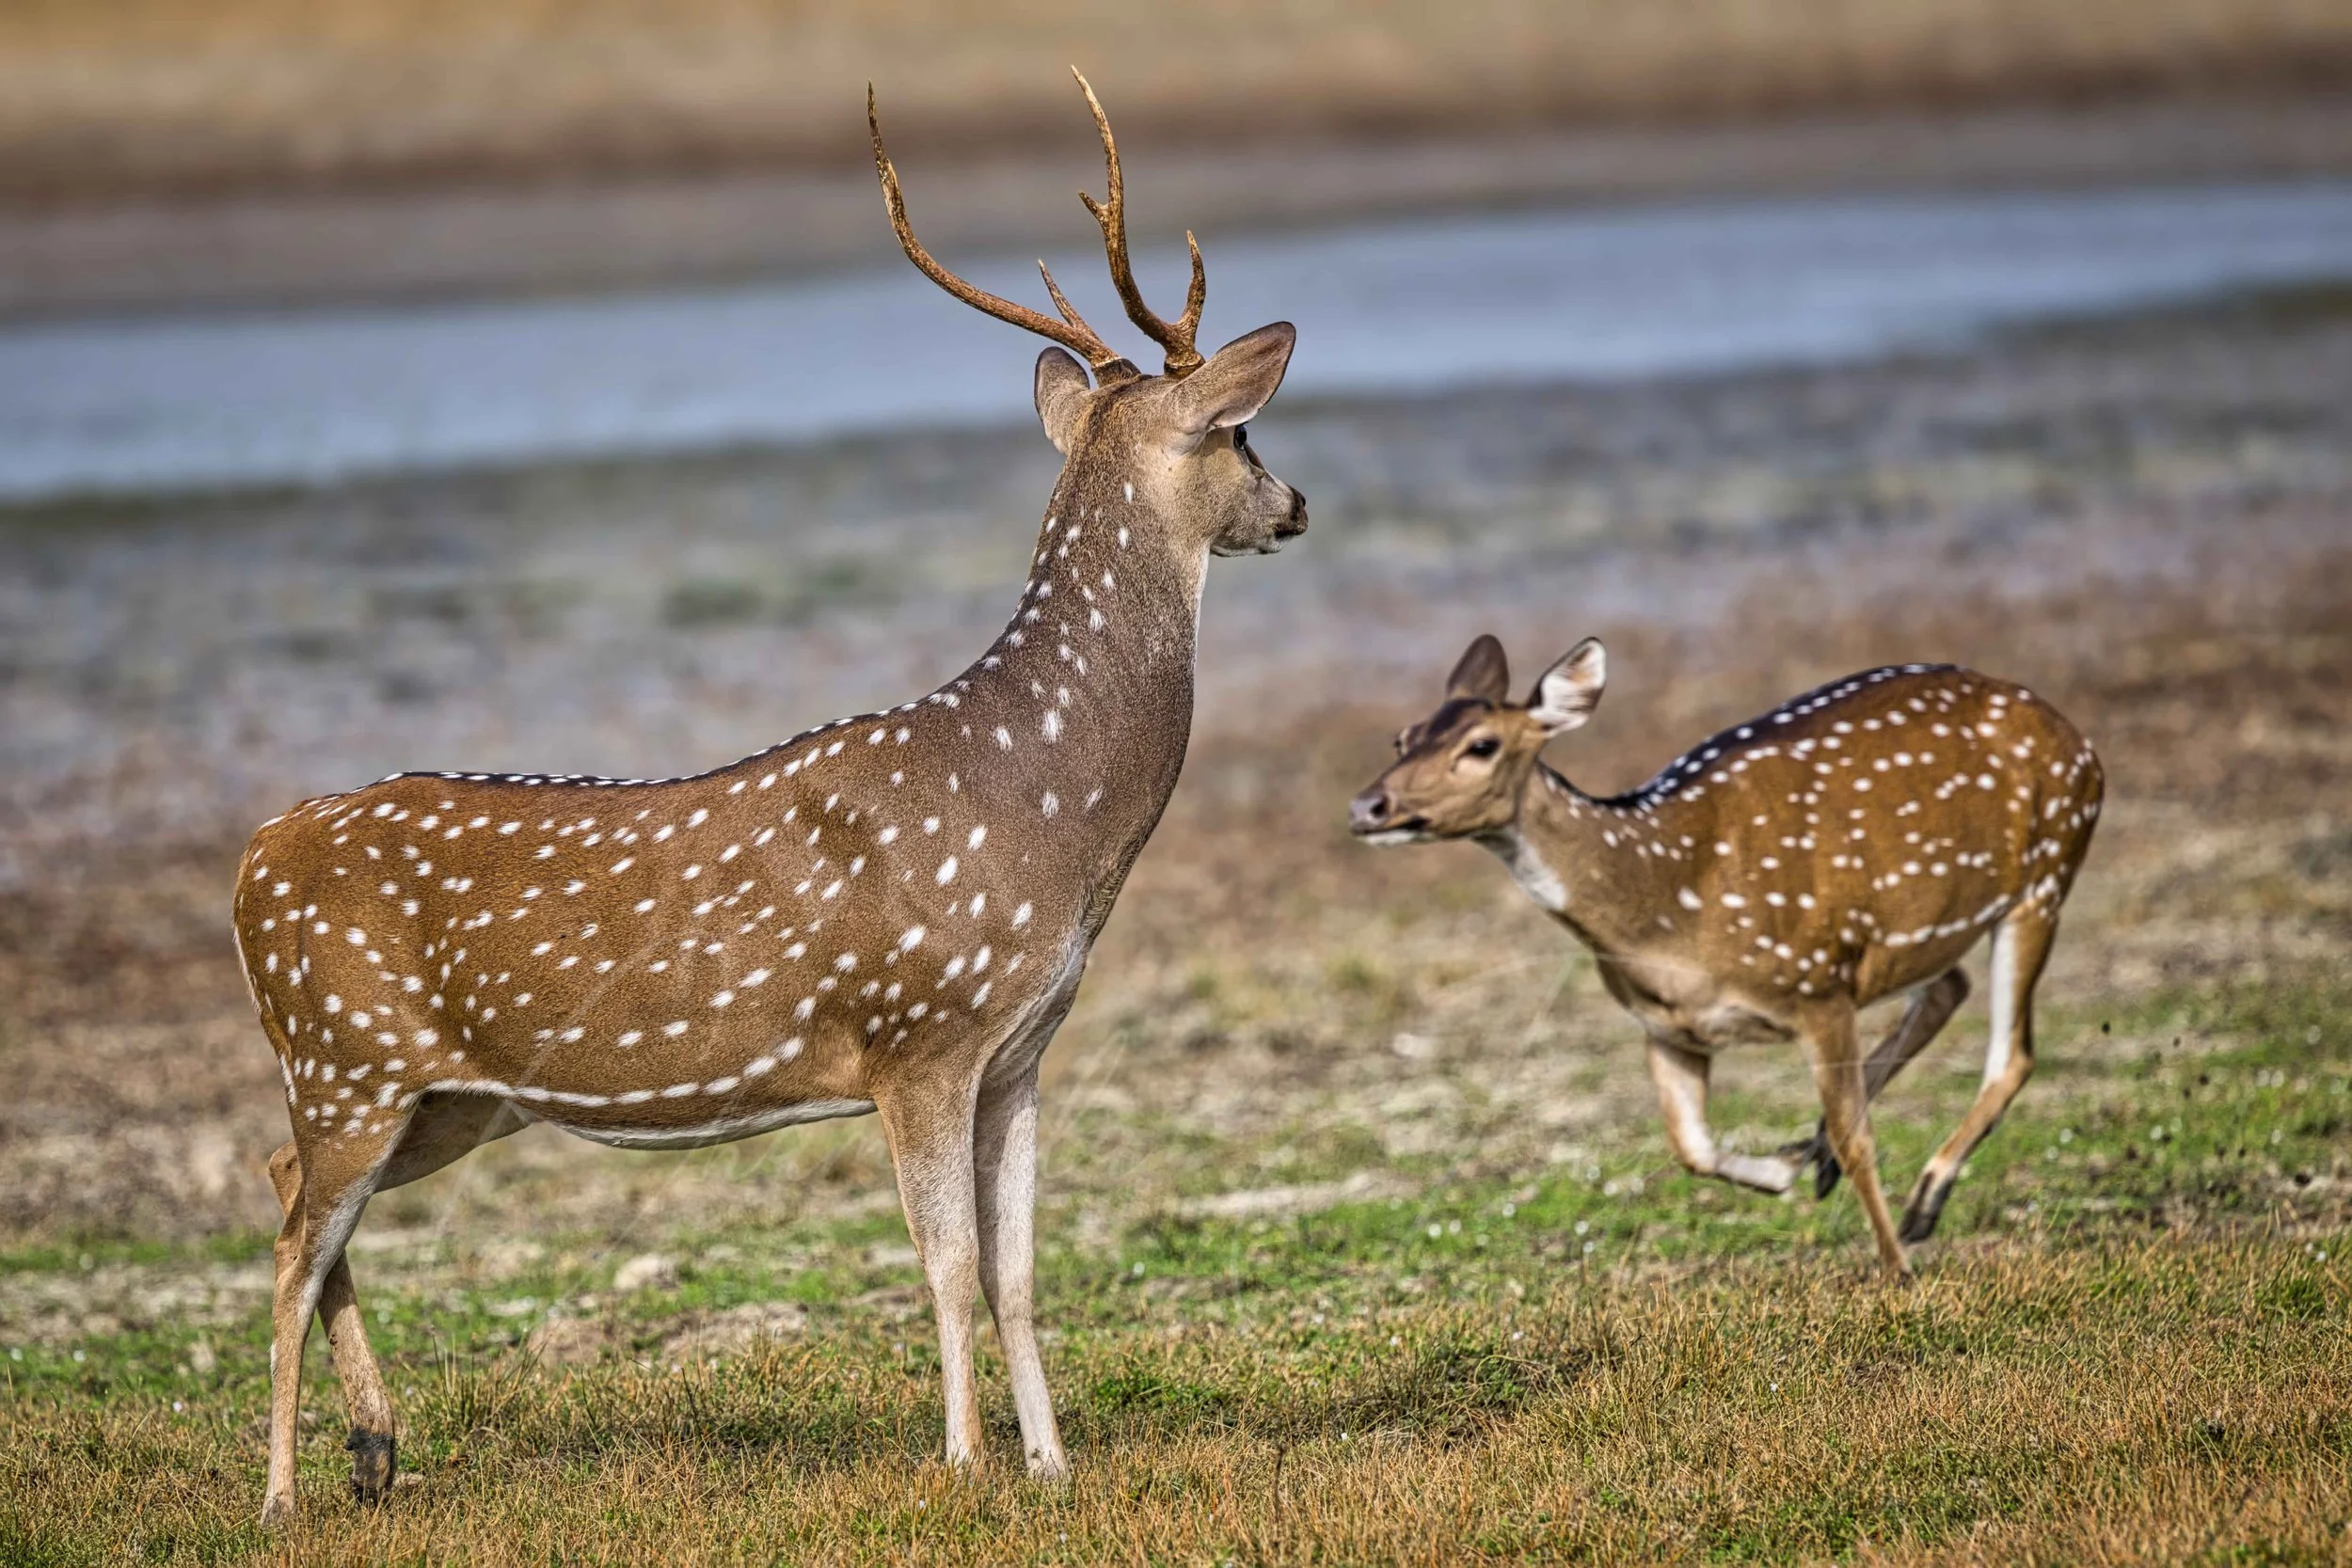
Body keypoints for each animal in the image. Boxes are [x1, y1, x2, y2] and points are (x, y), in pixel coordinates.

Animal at [231, 71, 1307, 1525]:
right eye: (1241, 430)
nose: (1295, 501)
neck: (1051, 817)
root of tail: (250, 859)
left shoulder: (1019, 1046)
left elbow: (1020, 1269)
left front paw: (1052, 1462)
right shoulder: (917, 1030)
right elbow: (945, 1266)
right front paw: (964, 1464)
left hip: (436, 1092)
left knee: (286, 1185)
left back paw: (377, 1445)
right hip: (347, 1057)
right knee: (291, 1241)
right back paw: (284, 1492)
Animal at [1349, 637, 2101, 1275]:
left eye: (1481, 745)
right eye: (1402, 737)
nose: (1367, 806)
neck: (1669, 910)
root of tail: (2077, 736)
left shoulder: (1818, 982)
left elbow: (1857, 1136)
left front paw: (1895, 1270)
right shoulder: (1666, 1025)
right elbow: (1693, 1148)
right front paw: (1785, 1169)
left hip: (2046, 873)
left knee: (2012, 1054)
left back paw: (1921, 1203)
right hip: (1923, 927)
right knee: (1950, 989)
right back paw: (1825, 1160)